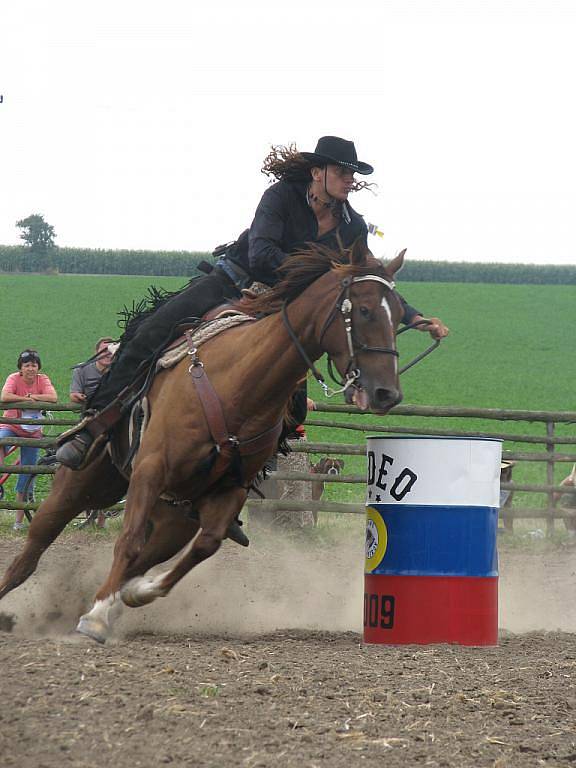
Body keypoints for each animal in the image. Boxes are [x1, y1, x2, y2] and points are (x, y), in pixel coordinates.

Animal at [0, 243, 404, 640]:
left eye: (400, 314)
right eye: (364, 310)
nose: (387, 393)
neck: (240, 383)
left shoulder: (227, 492)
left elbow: (203, 545)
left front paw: (134, 594)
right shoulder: (151, 469)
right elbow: (128, 540)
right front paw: (96, 616)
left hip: (172, 518)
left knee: (147, 555)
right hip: (81, 486)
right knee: (31, 553)